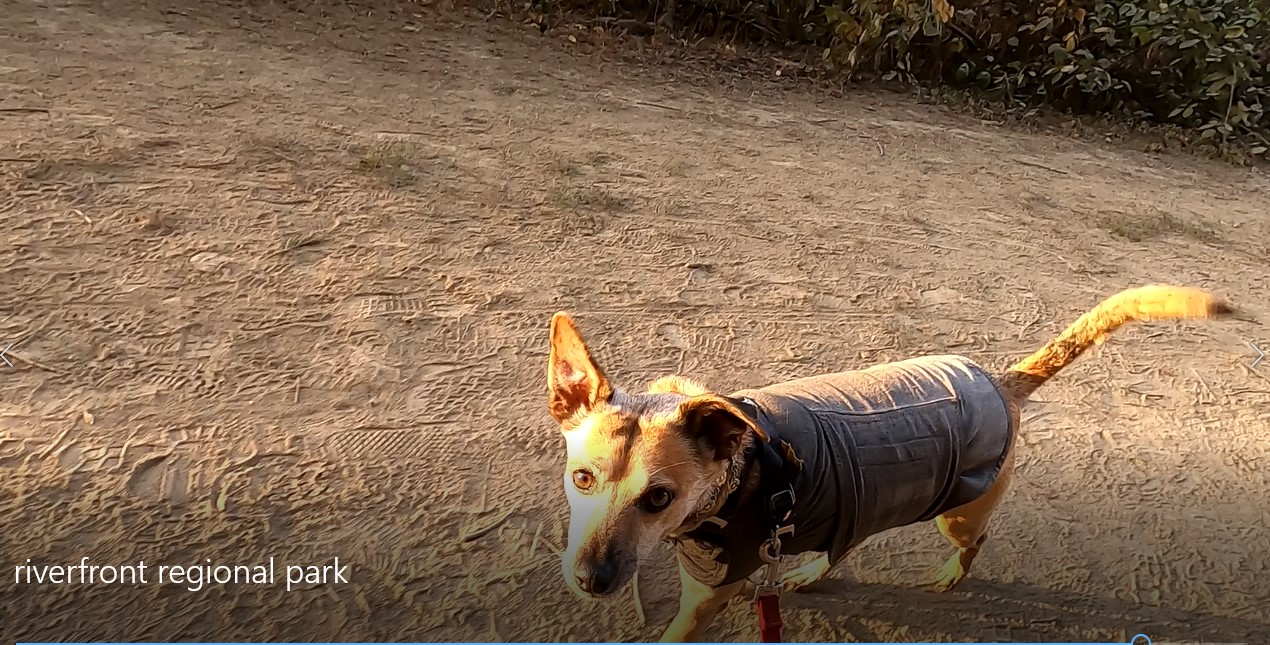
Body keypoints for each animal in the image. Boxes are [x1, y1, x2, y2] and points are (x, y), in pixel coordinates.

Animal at [543, 285, 1229, 639]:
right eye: (583, 479)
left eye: (659, 497)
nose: (591, 582)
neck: (730, 481)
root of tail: (1001, 381)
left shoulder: (707, 595)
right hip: (867, 498)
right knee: (844, 544)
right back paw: (806, 575)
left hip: (955, 513)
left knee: (973, 543)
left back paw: (949, 577)